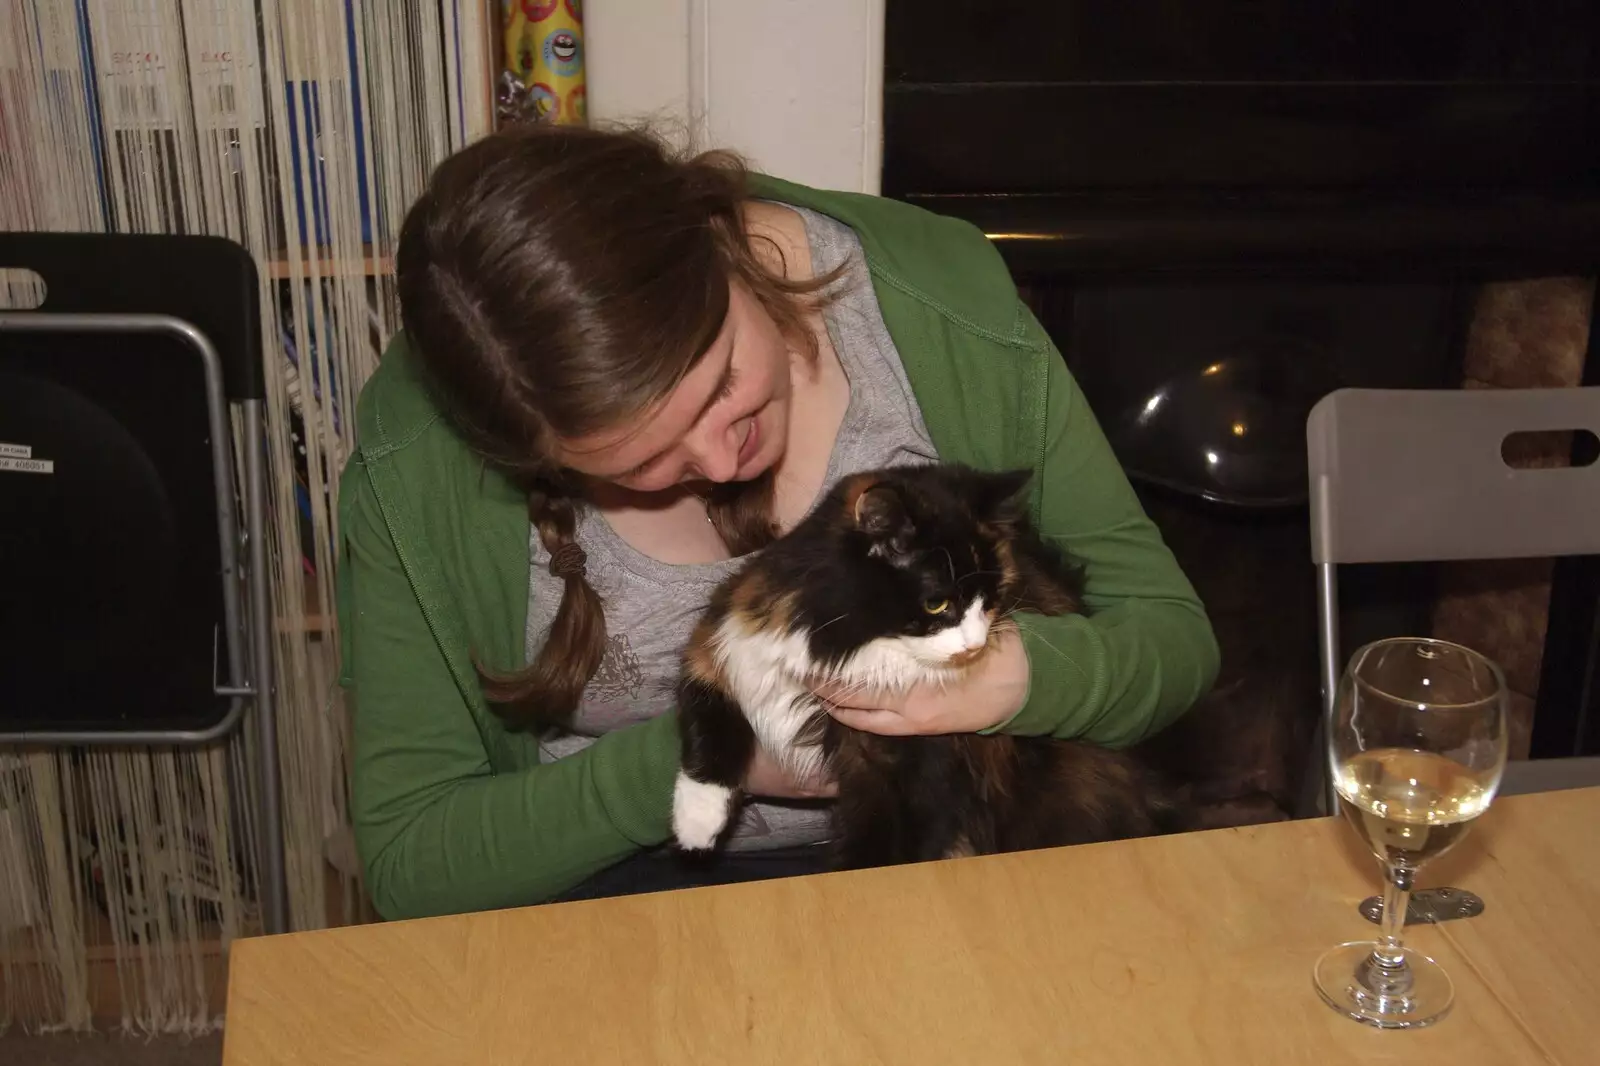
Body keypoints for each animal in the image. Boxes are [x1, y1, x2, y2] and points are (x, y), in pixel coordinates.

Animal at [665, 457, 1273, 864]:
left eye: (991, 599)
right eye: (938, 603)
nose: (974, 645)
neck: (846, 642)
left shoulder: (915, 774)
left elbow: (884, 851)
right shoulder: (727, 643)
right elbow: (708, 725)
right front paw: (696, 824)